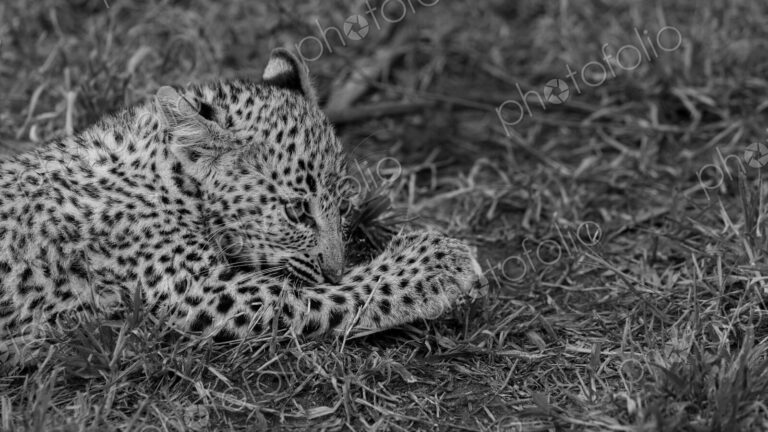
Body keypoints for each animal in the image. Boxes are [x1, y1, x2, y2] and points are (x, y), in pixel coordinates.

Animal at [0, 49, 485, 364]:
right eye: (297, 212)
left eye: (343, 205)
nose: (335, 267)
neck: (173, 177)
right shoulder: (195, 289)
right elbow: (315, 294)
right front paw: (437, 265)